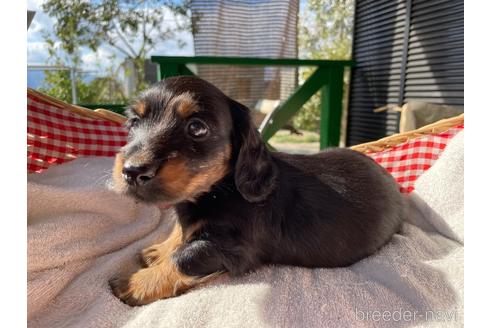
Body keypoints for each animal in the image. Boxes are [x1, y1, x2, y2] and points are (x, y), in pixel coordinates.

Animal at [109, 76, 406, 304]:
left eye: (196, 127)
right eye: (133, 122)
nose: (132, 172)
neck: (221, 188)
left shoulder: (231, 248)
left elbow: (185, 257)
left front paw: (134, 283)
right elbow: (180, 232)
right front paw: (159, 250)